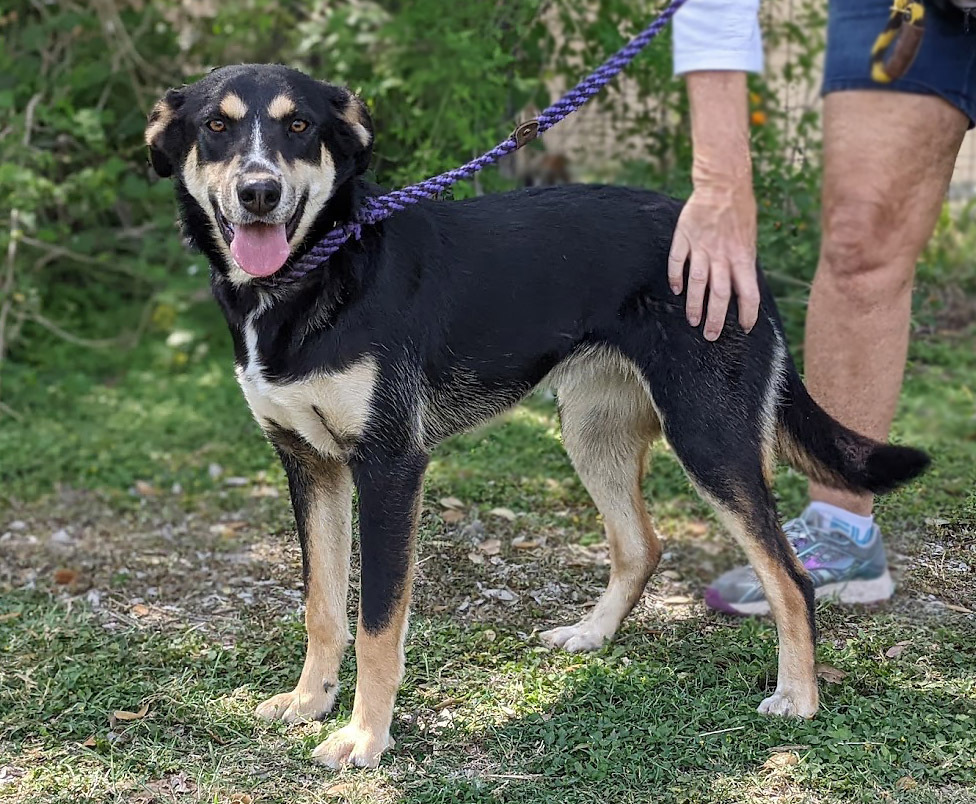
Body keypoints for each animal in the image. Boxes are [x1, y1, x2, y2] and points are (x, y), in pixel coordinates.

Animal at [145, 66, 932, 768]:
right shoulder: (309, 464)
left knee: (790, 577)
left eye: (300, 127)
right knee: (641, 544)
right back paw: (594, 635)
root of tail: (742, 259)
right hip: (591, 432)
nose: (260, 192)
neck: (315, 272)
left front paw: (365, 738)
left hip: (710, 439)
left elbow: (376, 622)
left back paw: (798, 697)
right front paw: (311, 701)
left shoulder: (390, 467)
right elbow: (321, 605)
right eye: (217, 127)